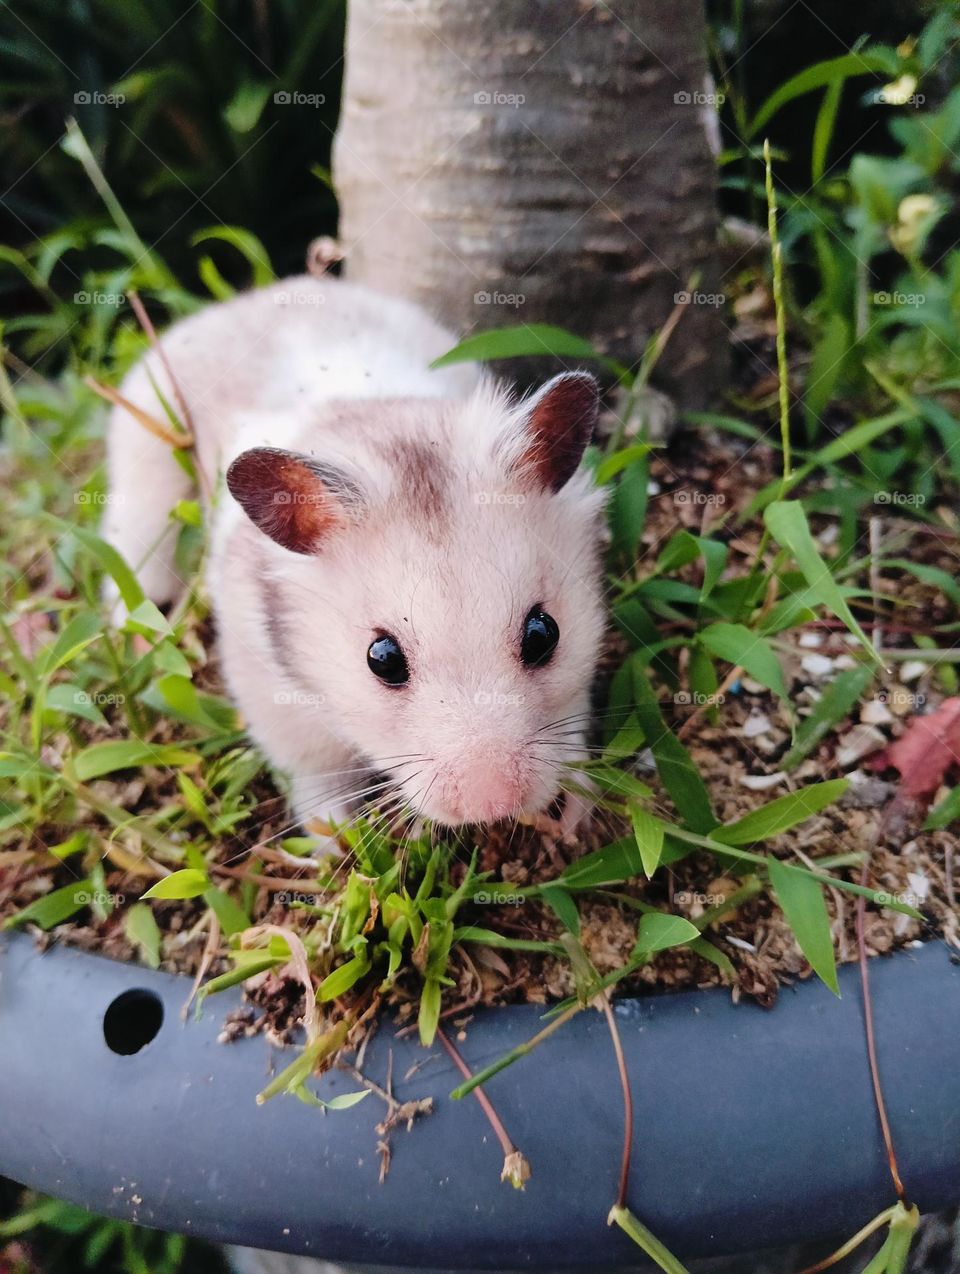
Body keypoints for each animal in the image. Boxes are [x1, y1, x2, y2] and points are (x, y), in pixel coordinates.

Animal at [102, 275, 606, 840]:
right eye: (381, 660)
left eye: (544, 634)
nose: (491, 804)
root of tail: (244, 301)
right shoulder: (276, 701)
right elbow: (316, 777)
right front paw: (336, 841)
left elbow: (573, 725)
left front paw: (574, 816)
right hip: (144, 461)